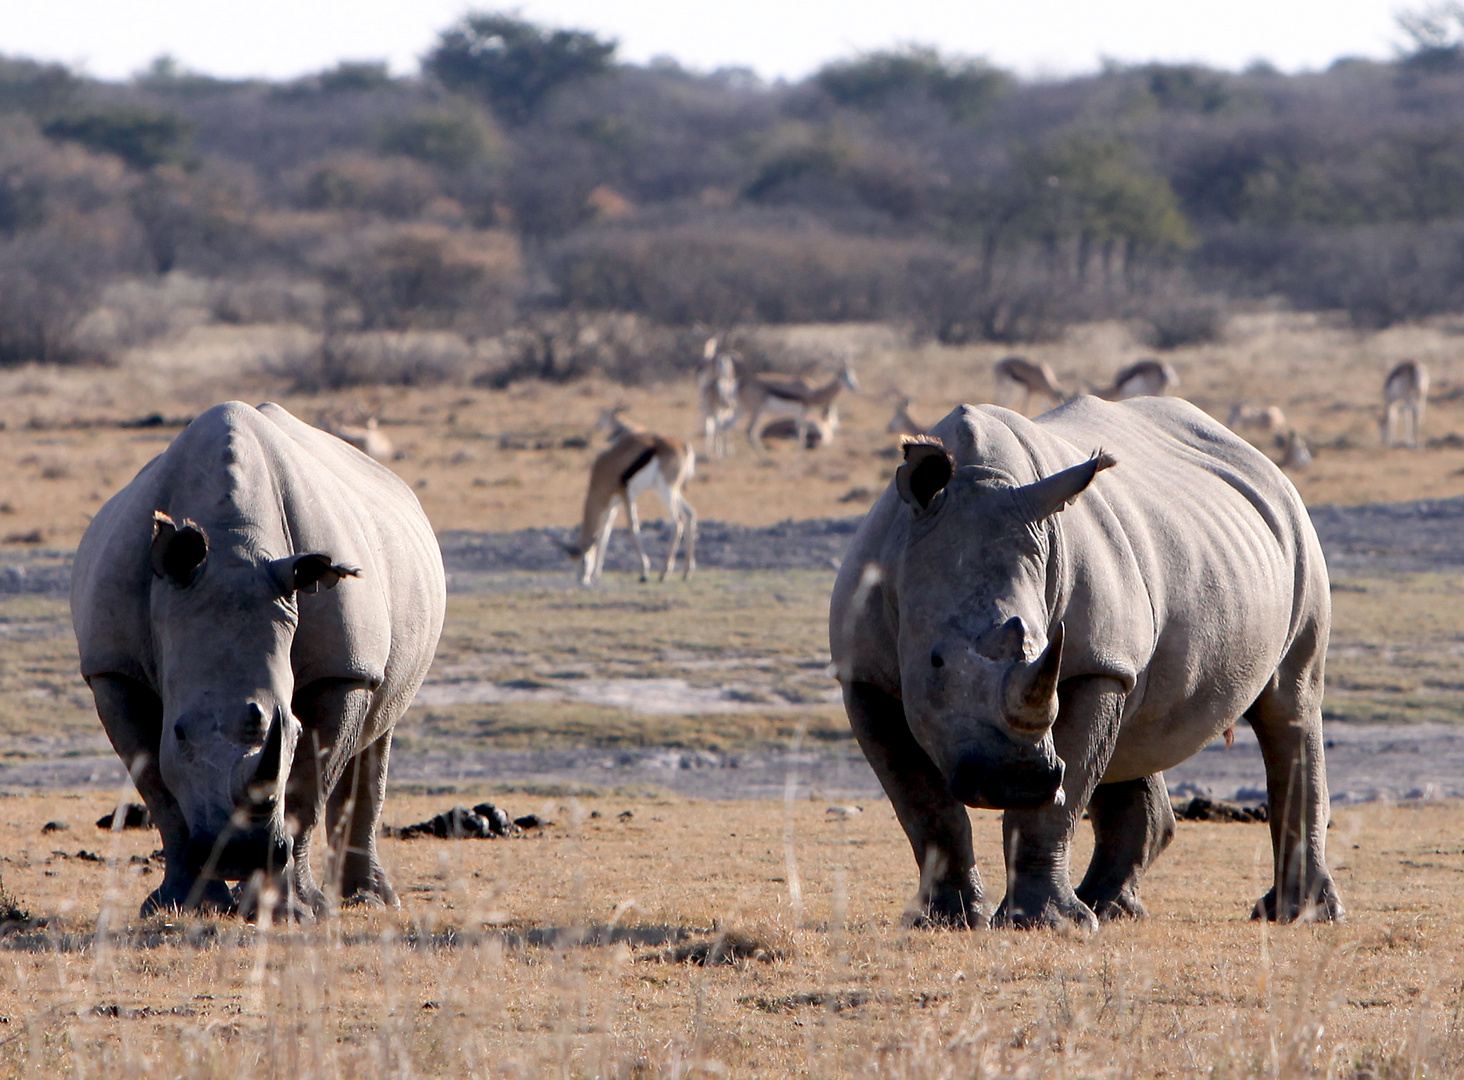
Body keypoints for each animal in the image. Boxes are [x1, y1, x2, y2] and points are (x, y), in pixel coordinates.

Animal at [559, 406, 696, 588]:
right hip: (672, 491)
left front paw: (644, 572)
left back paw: (664, 573)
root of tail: (684, 446)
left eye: (583, 560)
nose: (583, 580)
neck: (603, 471)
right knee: (690, 514)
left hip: (665, 491)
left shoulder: (626, 496)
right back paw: (687, 572)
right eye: (572, 562)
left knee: (678, 522)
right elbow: (605, 532)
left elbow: (633, 528)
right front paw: (596, 574)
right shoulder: (612, 504)